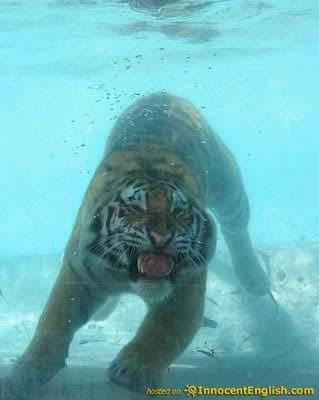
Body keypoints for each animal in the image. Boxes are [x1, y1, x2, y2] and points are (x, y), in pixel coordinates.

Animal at [4, 92, 270, 396]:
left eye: (179, 212)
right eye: (135, 208)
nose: (161, 237)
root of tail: (163, 93)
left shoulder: (186, 284)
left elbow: (163, 329)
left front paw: (133, 370)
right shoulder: (77, 272)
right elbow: (53, 319)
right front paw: (26, 372)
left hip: (227, 185)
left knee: (236, 229)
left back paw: (255, 279)